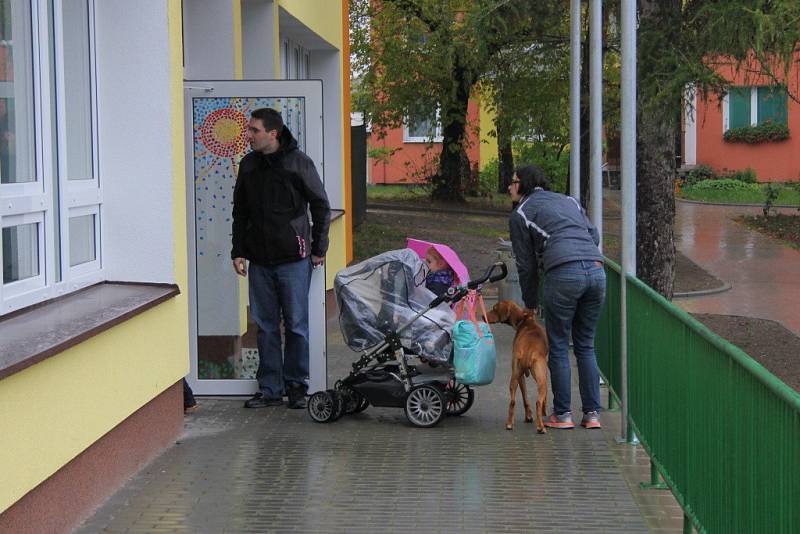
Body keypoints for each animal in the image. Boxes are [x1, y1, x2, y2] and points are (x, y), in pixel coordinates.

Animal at [484, 302, 548, 436]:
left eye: (494, 309)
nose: (483, 316)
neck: (524, 321)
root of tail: (528, 349)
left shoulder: (521, 375)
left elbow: (525, 398)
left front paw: (528, 416)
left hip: (515, 375)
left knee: (513, 401)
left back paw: (509, 424)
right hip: (541, 380)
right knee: (538, 402)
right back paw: (541, 427)